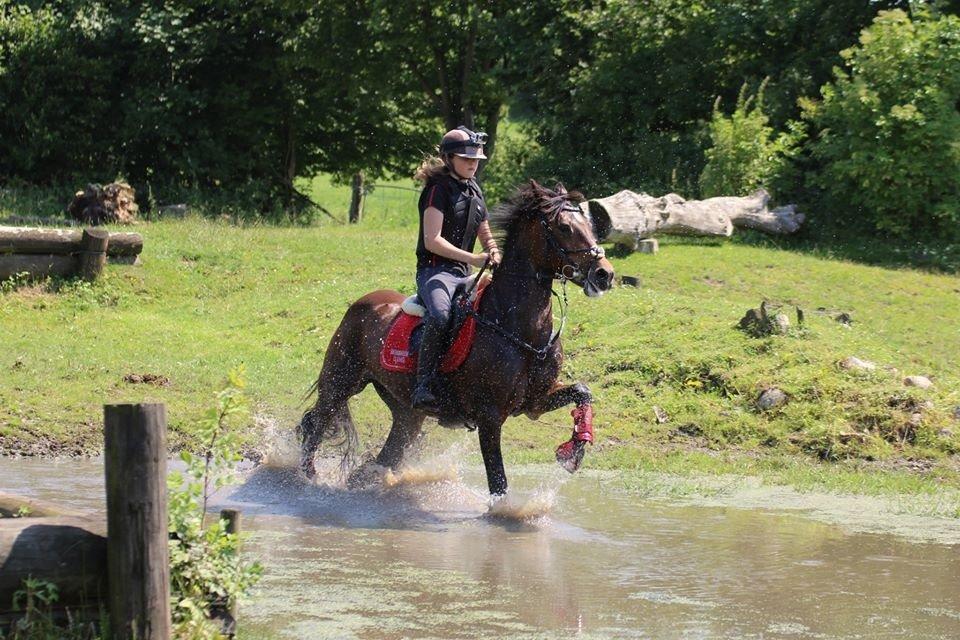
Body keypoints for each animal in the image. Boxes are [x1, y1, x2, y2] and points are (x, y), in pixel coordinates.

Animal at [297, 180, 615, 496]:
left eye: (589, 224)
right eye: (564, 227)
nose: (605, 274)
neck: (521, 332)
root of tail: (363, 302)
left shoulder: (534, 402)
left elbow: (583, 391)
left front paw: (574, 450)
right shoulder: (489, 416)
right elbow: (498, 482)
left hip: (405, 410)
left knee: (389, 448)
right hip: (342, 381)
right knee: (315, 422)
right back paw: (306, 477)